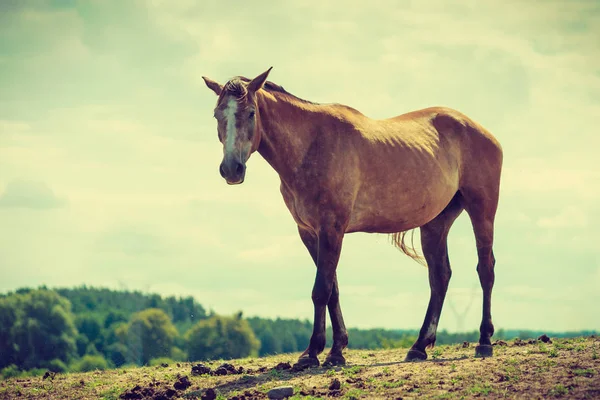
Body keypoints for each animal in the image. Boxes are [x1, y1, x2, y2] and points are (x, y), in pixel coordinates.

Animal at [202, 67, 502, 368]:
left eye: (251, 112)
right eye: (217, 114)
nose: (231, 169)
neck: (311, 145)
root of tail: (484, 133)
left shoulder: (332, 229)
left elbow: (321, 289)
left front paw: (314, 353)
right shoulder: (309, 232)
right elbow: (332, 289)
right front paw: (335, 349)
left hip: (482, 210)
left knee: (485, 270)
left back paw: (484, 342)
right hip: (435, 223)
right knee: (440, 276)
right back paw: (419, 347)